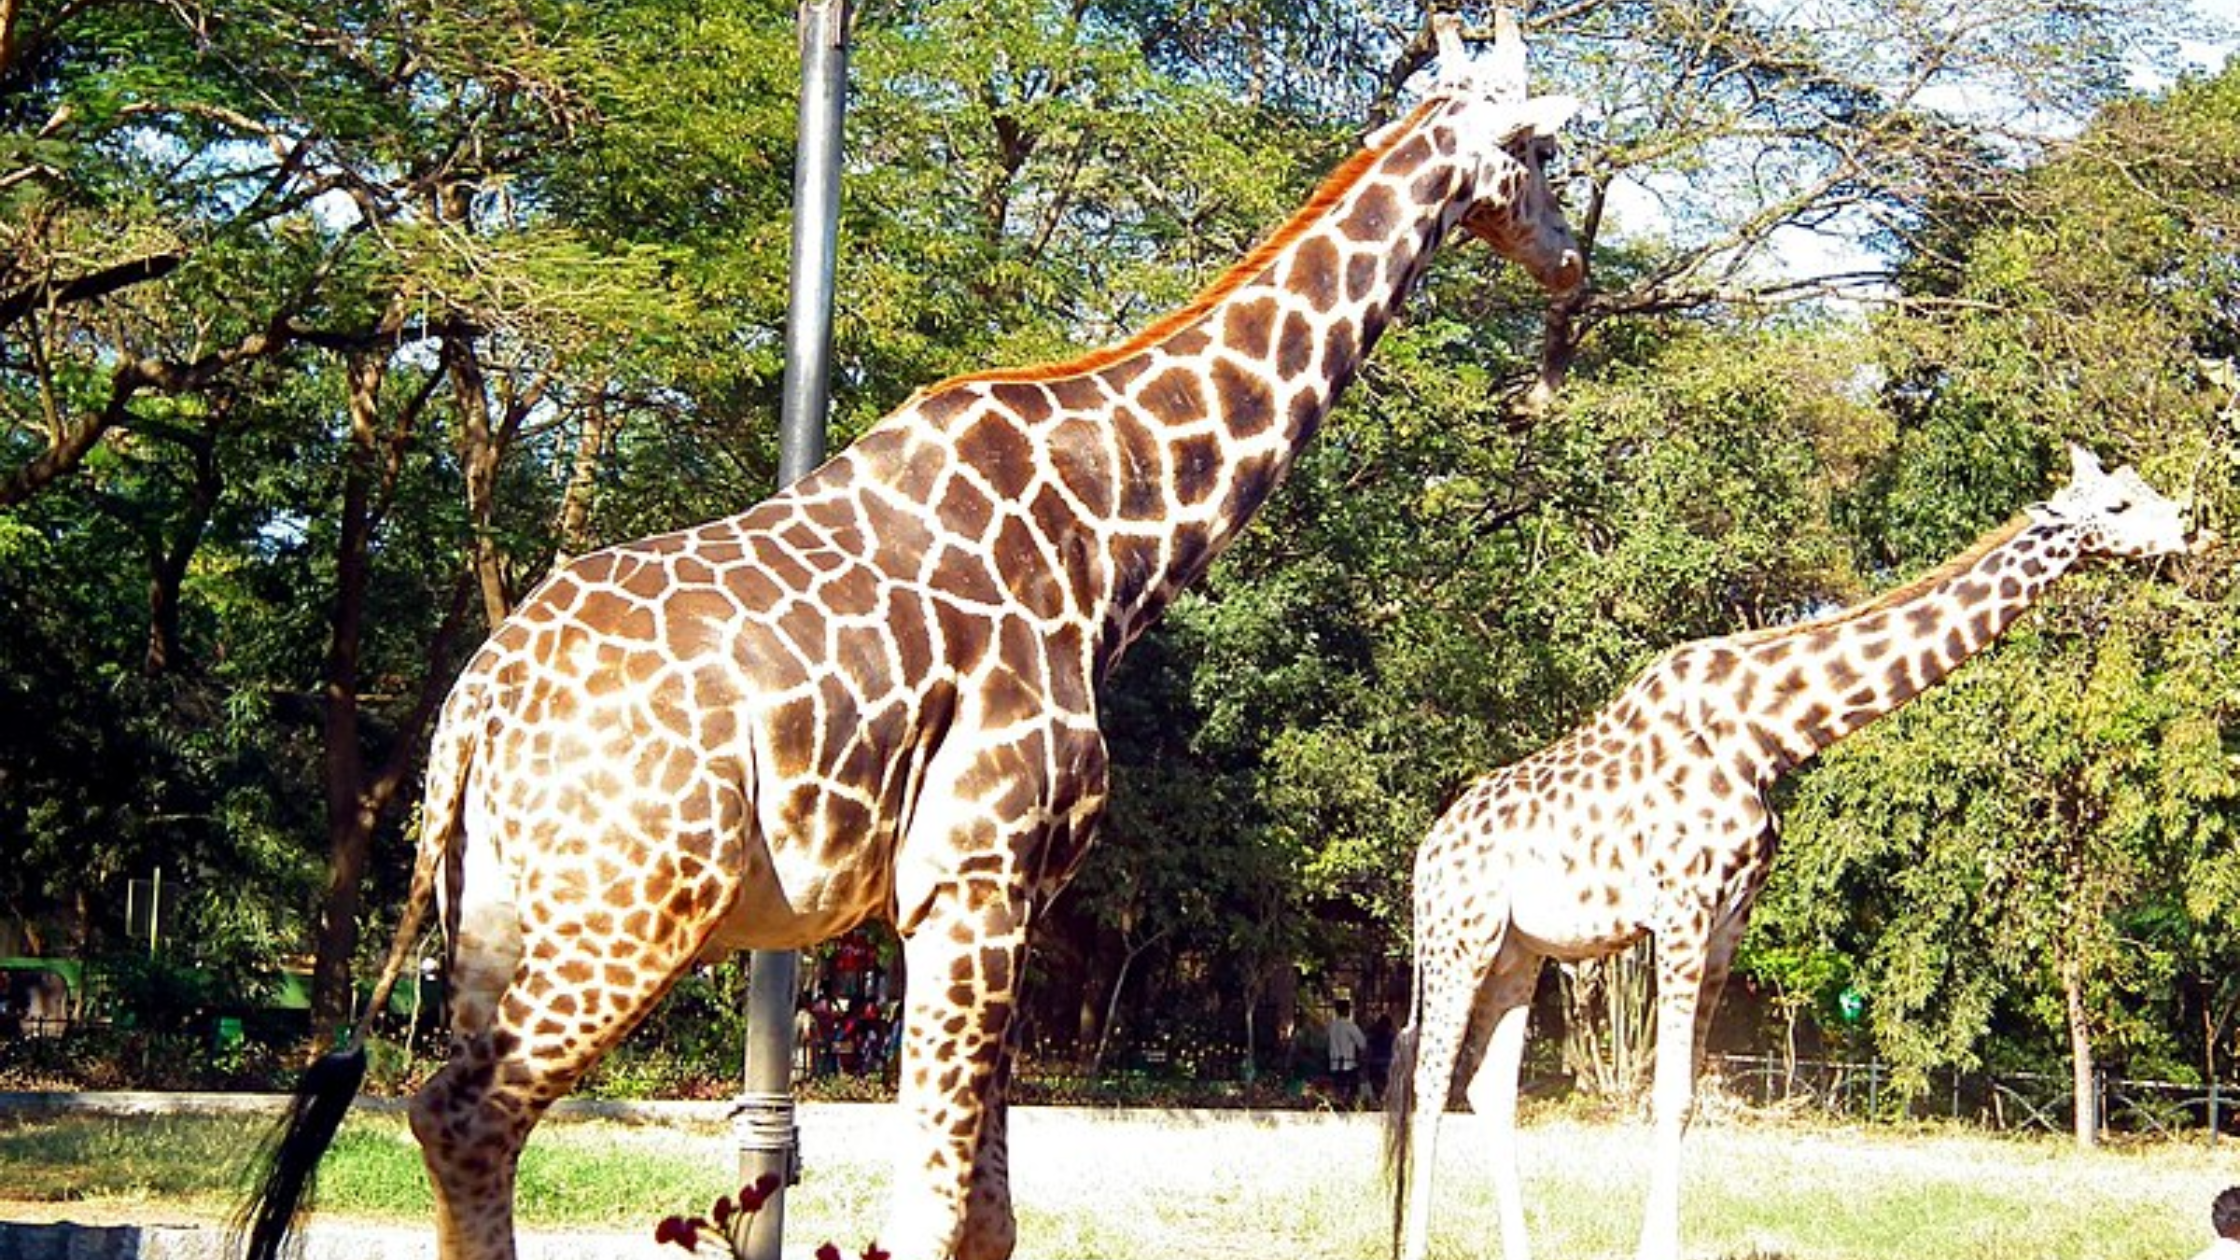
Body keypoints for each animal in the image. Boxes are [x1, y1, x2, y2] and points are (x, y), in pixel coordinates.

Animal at [245, 14, 1576, 1255]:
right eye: (1546, 153)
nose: (1571, 259)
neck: (1113, 535)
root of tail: (475, 705)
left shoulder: (991, 895)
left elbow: (986, 1215)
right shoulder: (973, 876)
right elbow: (934, 1212)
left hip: (497, 909)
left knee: (451, 1112)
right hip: (632, 903)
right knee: (467, 1111)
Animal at [1388, 443, 2195, 1260]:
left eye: (2141, 488)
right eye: (2119, 507)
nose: (2190, 527)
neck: (1769, 733)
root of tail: (1425, 857)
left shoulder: (1728, 919)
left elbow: (1686, 1096)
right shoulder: (1680, 910)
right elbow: (1667, 1093)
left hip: (1520, 950)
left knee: (1489, 1088)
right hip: (1460, 938)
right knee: (1430, 1081)